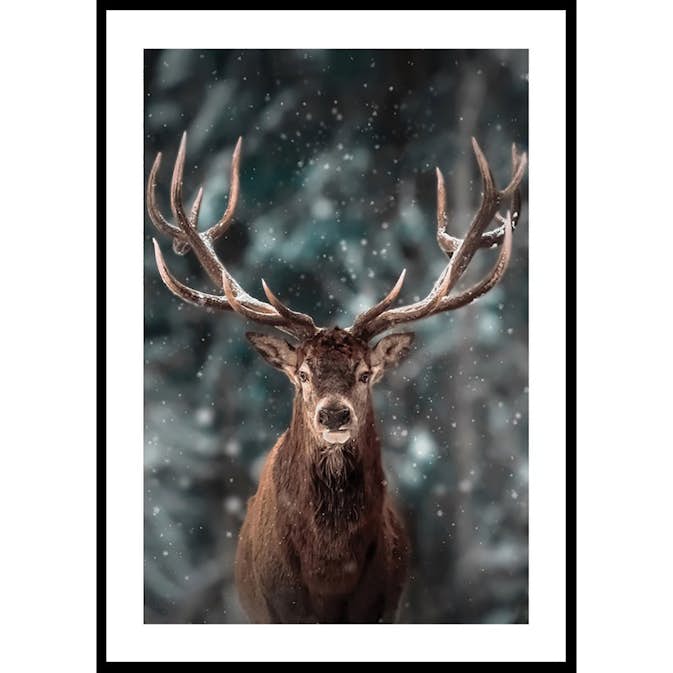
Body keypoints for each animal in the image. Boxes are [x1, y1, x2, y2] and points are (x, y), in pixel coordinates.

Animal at [147, 132, 527, 623]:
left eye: (365, 374)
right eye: (303, 374)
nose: (333, 415)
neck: (329, 575)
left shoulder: (383, 608)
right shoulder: (276, 610)